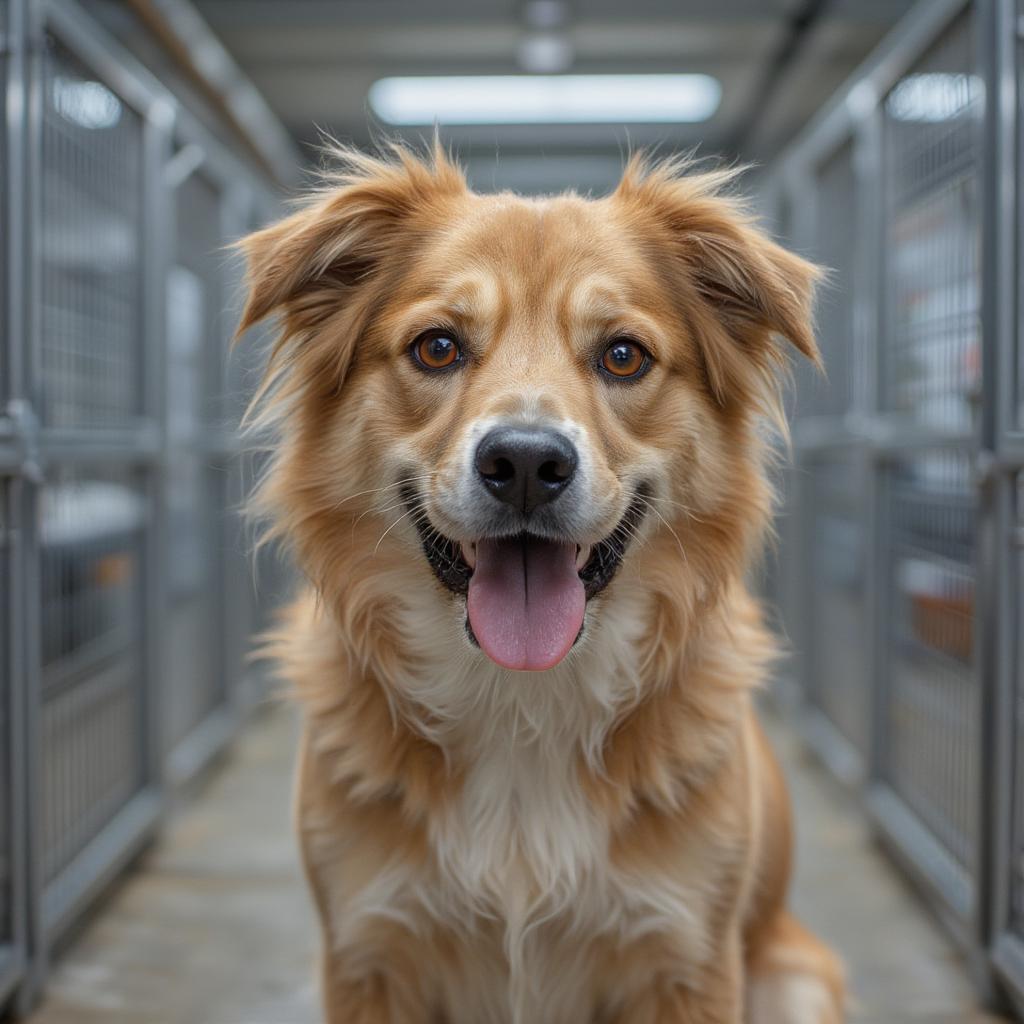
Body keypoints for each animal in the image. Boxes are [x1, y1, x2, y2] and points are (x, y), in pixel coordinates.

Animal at [235, 144, 843, 1024]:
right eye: (437, 347)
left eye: (623, 355)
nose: (524, 462)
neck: (520, 701)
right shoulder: (367, 953)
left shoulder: (689, 961)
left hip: (798, 978)